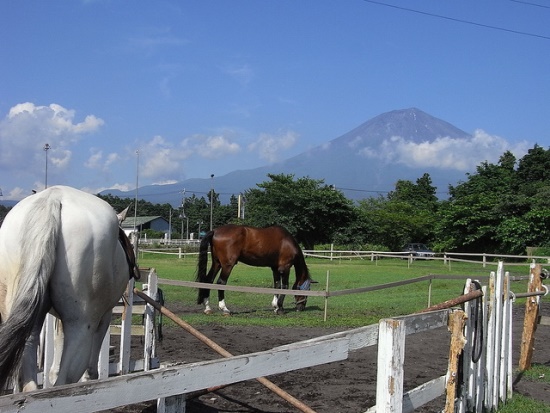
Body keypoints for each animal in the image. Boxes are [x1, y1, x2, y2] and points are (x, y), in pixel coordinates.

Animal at [0, 185, 138, 392]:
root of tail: (53, 198)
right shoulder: (104, 317)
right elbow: (90, 370)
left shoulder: (57, 319)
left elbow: (53, 366)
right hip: (81, 325)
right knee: (66, 380)